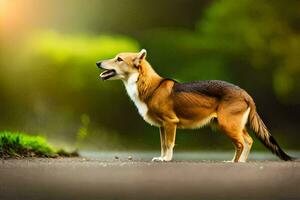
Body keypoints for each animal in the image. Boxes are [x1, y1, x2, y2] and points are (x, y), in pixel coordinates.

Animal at [96, 49, 292, 162]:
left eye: (119, 59)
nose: (97, 63)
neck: (148, 86)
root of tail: (246, 94)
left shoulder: (170, 123)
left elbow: (169, 144)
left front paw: (167, 160)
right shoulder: (162, 126)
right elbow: (163, 145)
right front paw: (161, 157)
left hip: (227, 125)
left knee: (241, 144)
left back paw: (234, 163)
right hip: (236, 125)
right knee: (248, 140)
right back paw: (242, 162)